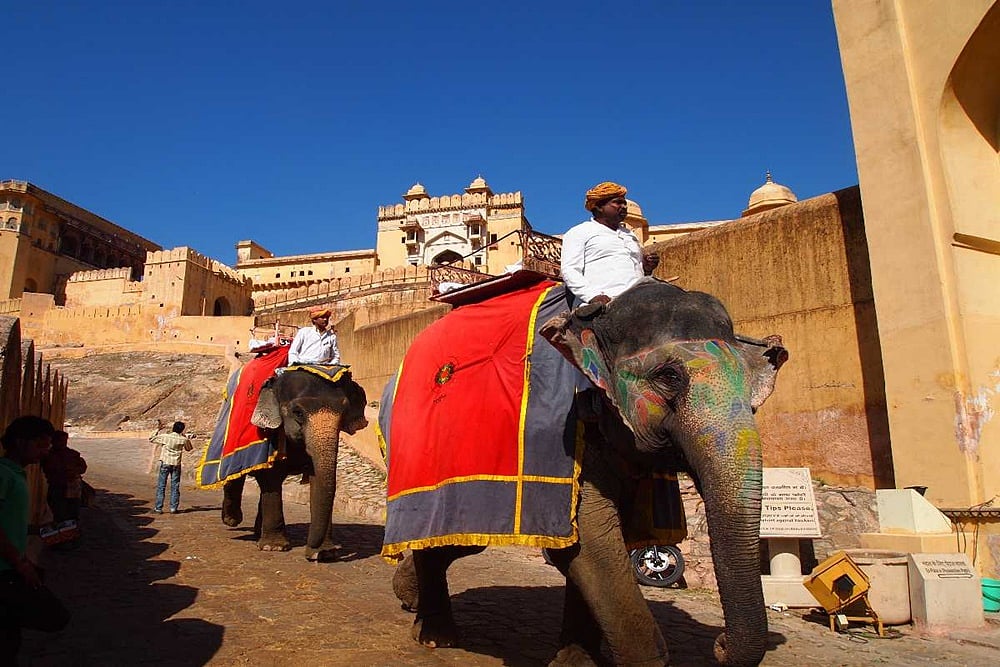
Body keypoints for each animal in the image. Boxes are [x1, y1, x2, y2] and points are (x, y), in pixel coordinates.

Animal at [220, 366, 369, 561]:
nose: (310, 553)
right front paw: (274, 547)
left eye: (344, 412)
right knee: (235, 475)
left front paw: (324, 553)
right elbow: (271, 479)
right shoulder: (271, 438)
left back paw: (257, 532)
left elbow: (317, 480)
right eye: (298, 412)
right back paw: (232, 520)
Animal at [388, 277, 787, 666]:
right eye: (669, 377)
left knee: (458, 539)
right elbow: (590, 541)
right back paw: (435, 636)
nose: (720, 644)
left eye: (755, 393)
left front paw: (577, 661)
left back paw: (407, 595)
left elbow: (600, 541)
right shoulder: (562, 432)